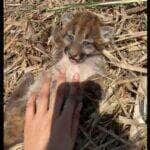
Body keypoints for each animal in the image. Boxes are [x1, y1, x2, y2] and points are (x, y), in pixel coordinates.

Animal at [3, 11, 113, 148]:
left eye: (86, 43)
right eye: (71, 36)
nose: (72, 55)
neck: (76, 64)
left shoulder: (96, 69)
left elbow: (96, 78)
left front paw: (99, 92)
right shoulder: (58, 56)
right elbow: (58, 45)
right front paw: (54, 31)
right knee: (11, 104)